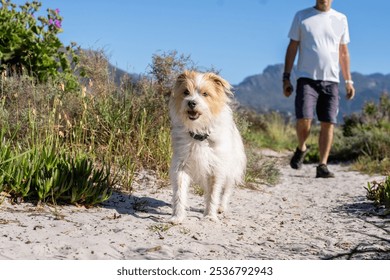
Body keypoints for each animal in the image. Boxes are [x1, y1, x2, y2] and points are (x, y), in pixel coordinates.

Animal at [169, 70, 245, 223]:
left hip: (231, 170)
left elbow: (213, 194)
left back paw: (221, 207)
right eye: (186, 92)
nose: (191, 102)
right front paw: (177, 216)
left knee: (226, 191)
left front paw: (210, 215)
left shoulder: (216, 168)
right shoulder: (181, 165)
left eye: (205, 94)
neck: (199, 134)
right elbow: (179, 192)